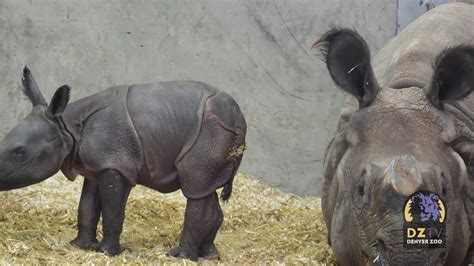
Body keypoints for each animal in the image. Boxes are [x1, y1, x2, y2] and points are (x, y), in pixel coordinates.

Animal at [0, 67, 246, 260]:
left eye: (20, 153)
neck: (67, 126)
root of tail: (240, 118)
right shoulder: (96, 167)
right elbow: (86, 207)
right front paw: (81, 246)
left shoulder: (116, 163)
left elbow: (112, 210)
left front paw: (105, 252)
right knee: (204, 188)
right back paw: (209, 255)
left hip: (213, 129)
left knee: (194, 187)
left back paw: (180, 256)